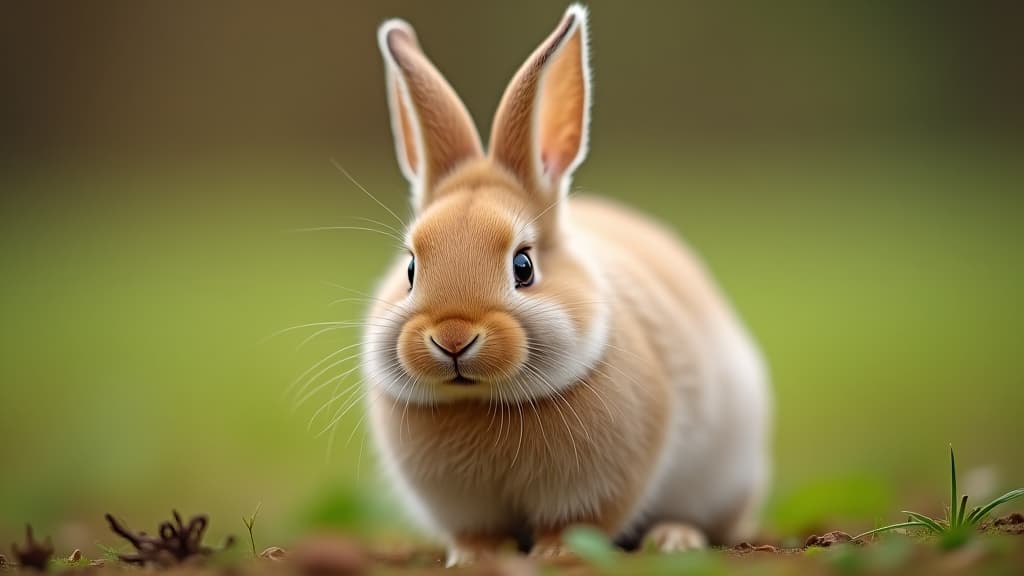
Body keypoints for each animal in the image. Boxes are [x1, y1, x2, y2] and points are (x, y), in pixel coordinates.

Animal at [360, 2, 770, 561]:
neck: (482, 403)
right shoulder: (462, 504)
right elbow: (476, 531)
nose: (452, 338)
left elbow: (581, 522)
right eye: (410, 269)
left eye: (523, 267)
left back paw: (674, 539)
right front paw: (476, 557)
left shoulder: (603, 483)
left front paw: (557, 554)